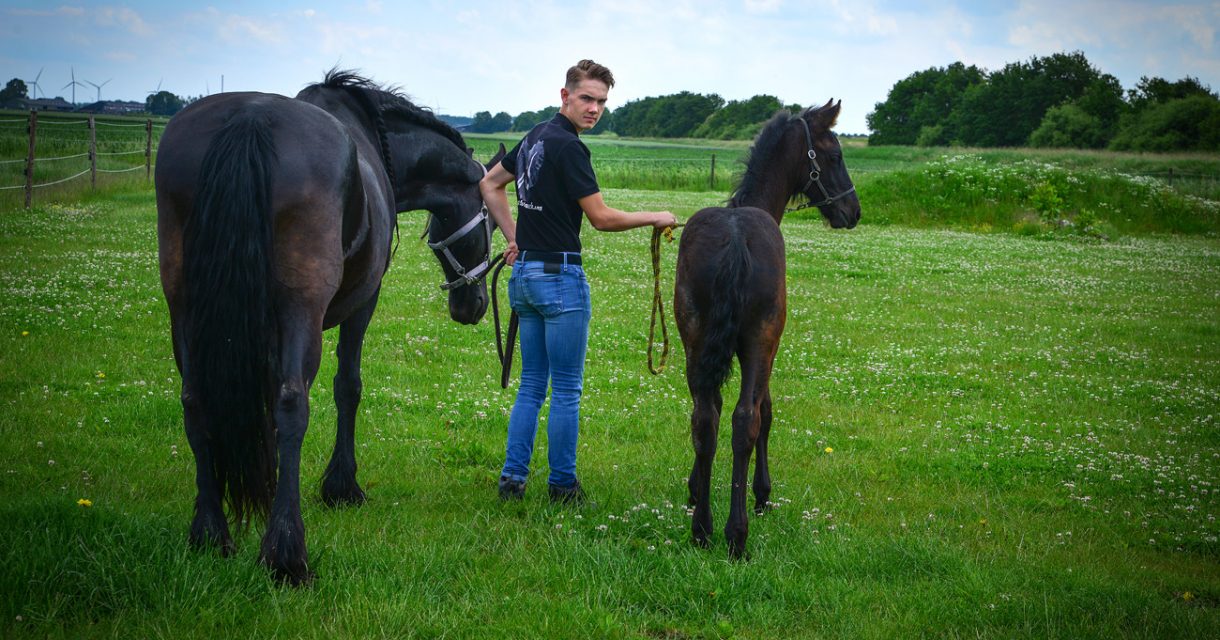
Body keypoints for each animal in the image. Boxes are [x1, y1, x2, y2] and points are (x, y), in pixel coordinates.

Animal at [678, 99, 858, 558]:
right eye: (835, 155)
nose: (852, 211)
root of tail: (735, 239)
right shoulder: (768, 346)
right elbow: (767, 412)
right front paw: (762, 494)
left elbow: (711, 414)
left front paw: (695, 488)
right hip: (761, 340)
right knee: (746, 420)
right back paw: (736, 534)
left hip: (694, 339)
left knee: (704, 419)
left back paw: (702, 529)